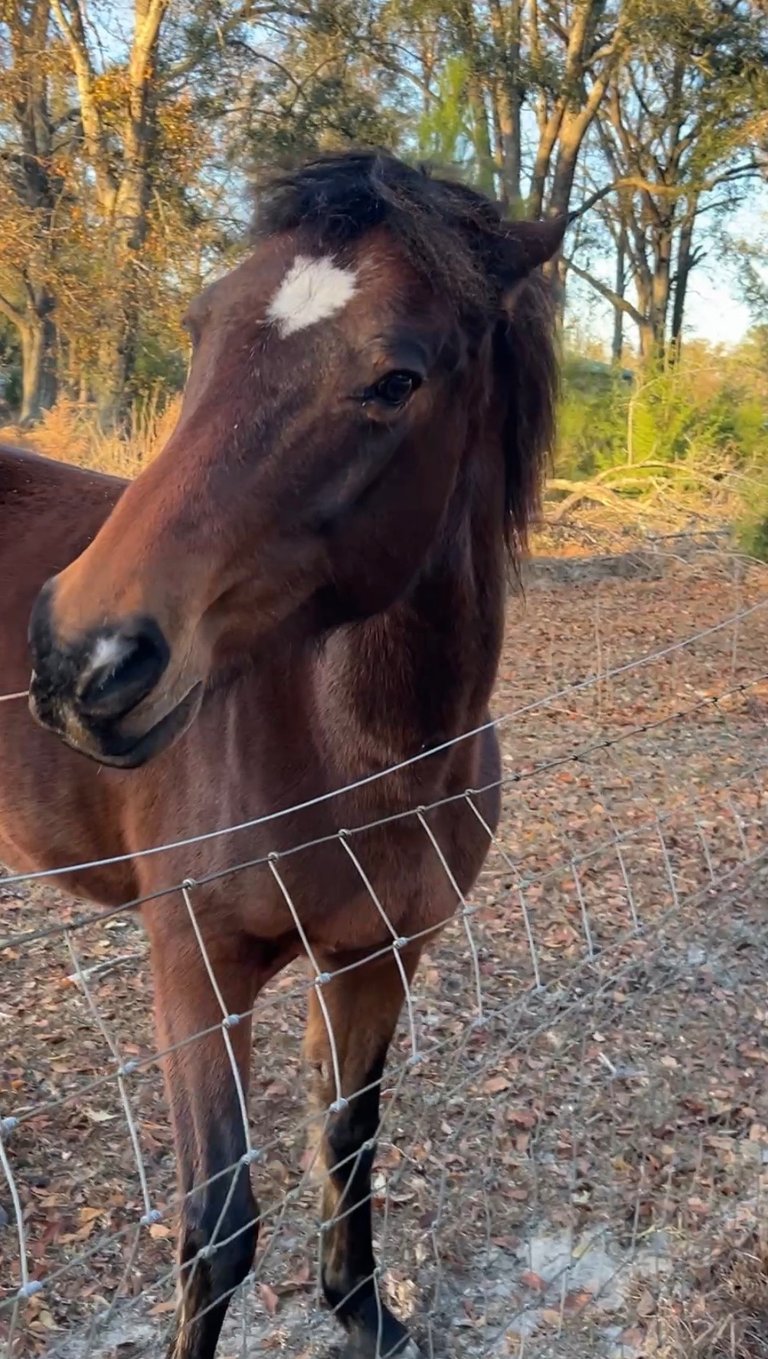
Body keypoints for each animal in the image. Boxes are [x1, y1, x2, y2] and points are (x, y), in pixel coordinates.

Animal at [0, 150, 563, 1359]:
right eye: (201, 324)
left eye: (397, 378)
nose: (78, 655)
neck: (360, 760)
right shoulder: (194, 968)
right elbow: (217, 1230)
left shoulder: (381, 955)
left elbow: (350, 1138)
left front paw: (362, 1309)